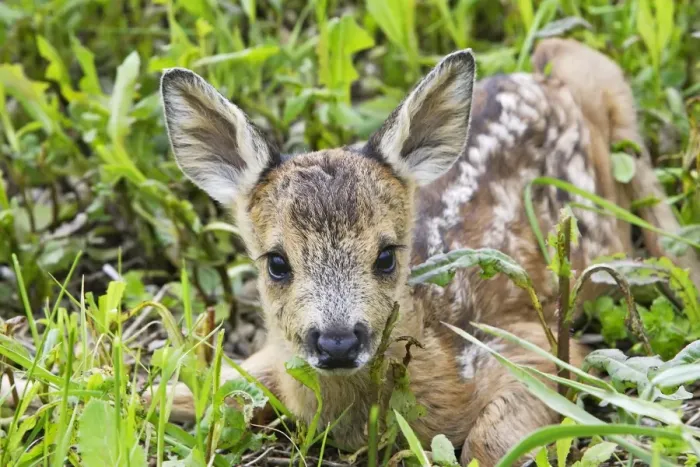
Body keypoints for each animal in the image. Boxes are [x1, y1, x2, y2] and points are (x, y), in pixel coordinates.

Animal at [154, 38, 699, 466]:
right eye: (276, 263)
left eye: (387, 255)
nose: (338, 343)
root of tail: (541, 72)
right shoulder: (269, 357)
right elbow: (207, 386)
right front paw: (175, 394)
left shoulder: (530, 349)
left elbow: (487, 443)